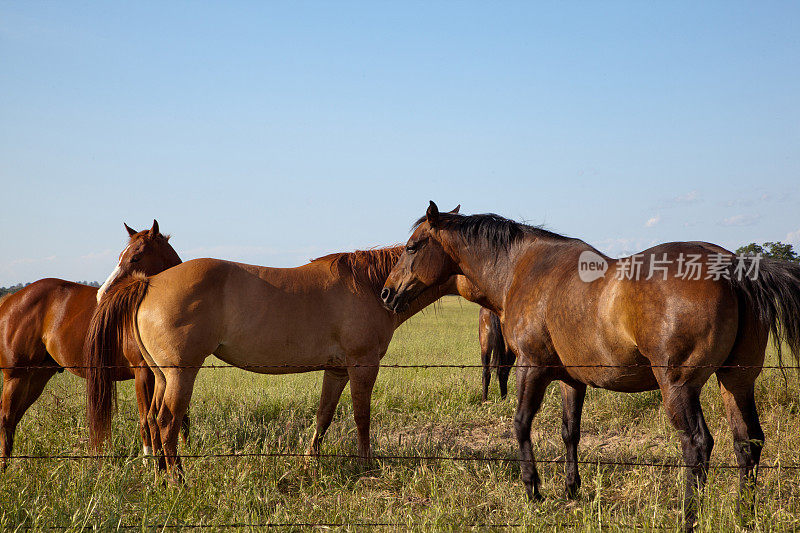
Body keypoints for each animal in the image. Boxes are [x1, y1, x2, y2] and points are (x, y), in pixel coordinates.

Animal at [0, 218, 181, 468]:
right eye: (120, 256)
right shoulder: (143, 373)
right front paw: (149, 462)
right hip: (15, 376)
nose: (103, 293)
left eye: (135, 257)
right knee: (6, 418)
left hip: (35, 376)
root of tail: (10, 300)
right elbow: (147, 418)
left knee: (13, 419)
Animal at [380, 202, 800, 528]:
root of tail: (733, 266)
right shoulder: (572, 380)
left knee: (698, 445)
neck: (522, 269)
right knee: (747, 443)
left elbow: (521, 424)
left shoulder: (531, 367)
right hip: (736, 382)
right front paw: (571, 489)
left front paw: (533, 489)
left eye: (412, 246)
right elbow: (570, 432)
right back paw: (744, 514)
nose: (386, 293)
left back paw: (688, 517)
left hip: (678, 387)